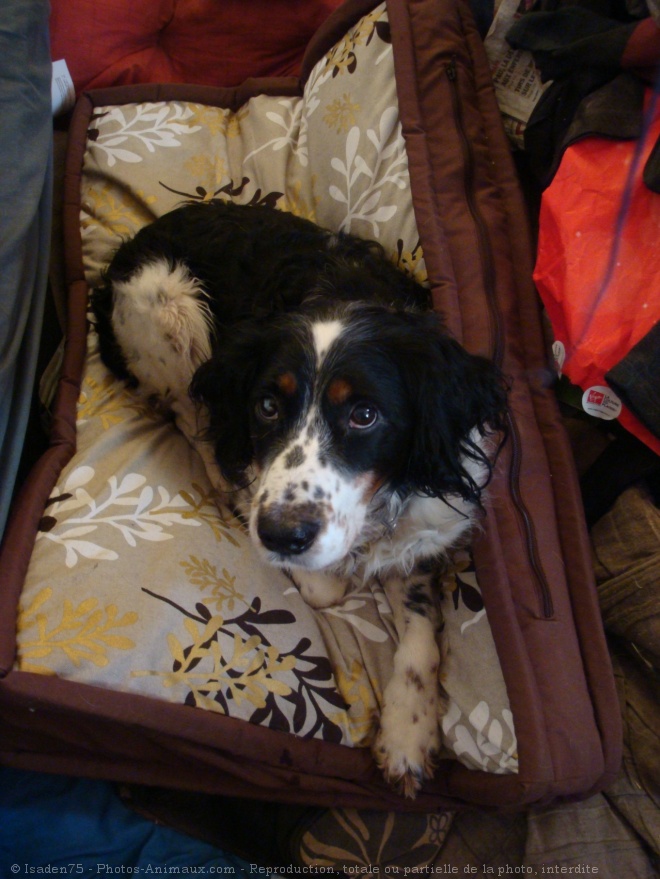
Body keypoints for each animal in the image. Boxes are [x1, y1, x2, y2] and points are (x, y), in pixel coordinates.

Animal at [90, 201, 508, 796]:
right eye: (266, 406)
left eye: (364, 414)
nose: (282, 535)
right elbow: (325, 585)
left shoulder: (424, 526)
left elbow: (421, 634)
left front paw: (408, 732)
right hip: (167, 305)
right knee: (190, 417)